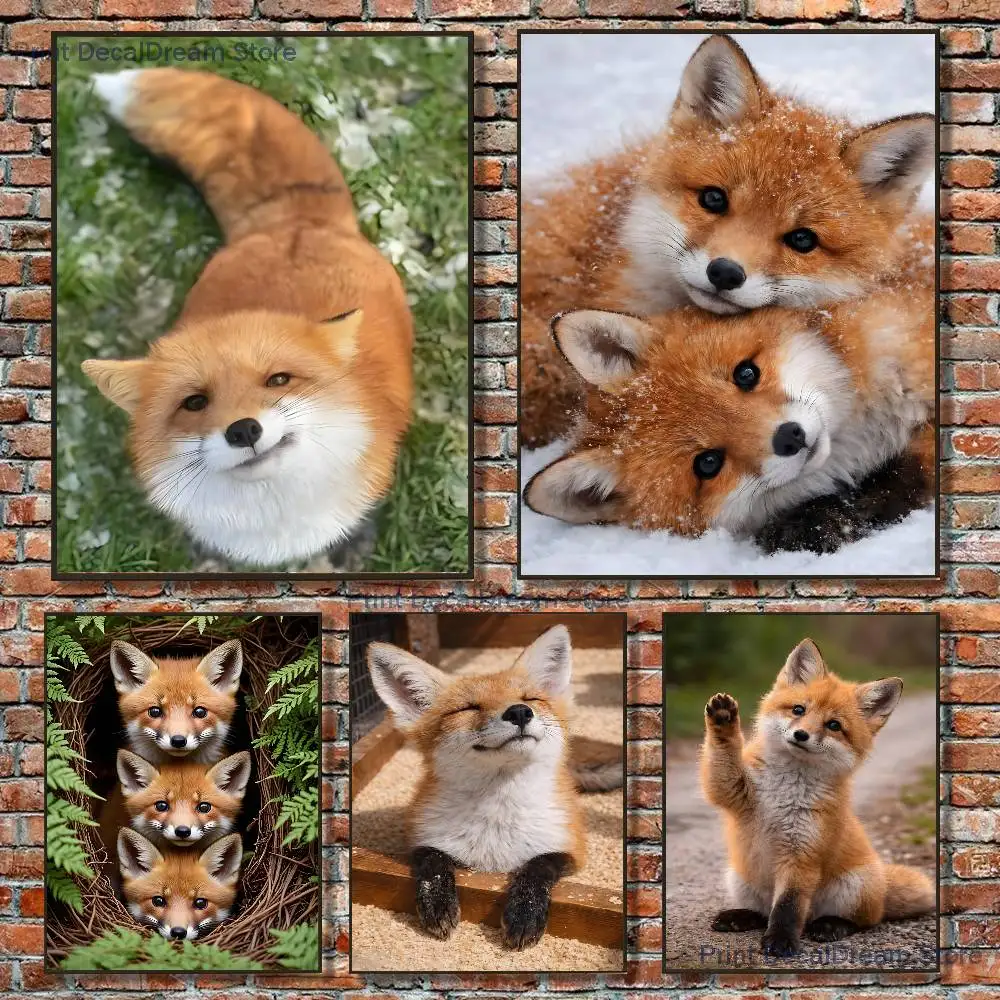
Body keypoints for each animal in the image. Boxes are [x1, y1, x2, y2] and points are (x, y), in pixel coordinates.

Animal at [366, 625, 586, 950]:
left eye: (530, 698)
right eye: (469, 708)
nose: (520, 712)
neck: (497, 822)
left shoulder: (572, 851)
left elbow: (539, 865)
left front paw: (525, 911)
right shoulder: (418, 842)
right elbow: (433, 861)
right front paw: (438, 902)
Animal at [699, 638, 934, 957]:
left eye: (834, 725)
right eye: (798, 710)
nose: (801, 735)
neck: (785, 788)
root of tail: (883, 885)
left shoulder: (802, 855)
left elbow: (788, 908)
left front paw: (781, 941)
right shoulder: (735, 790)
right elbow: (721, 769)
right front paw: (723, 721)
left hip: (854, 889)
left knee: (862, 921)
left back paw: (830, 926)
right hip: (739, 879)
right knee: (763, 912)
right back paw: (741, 916)